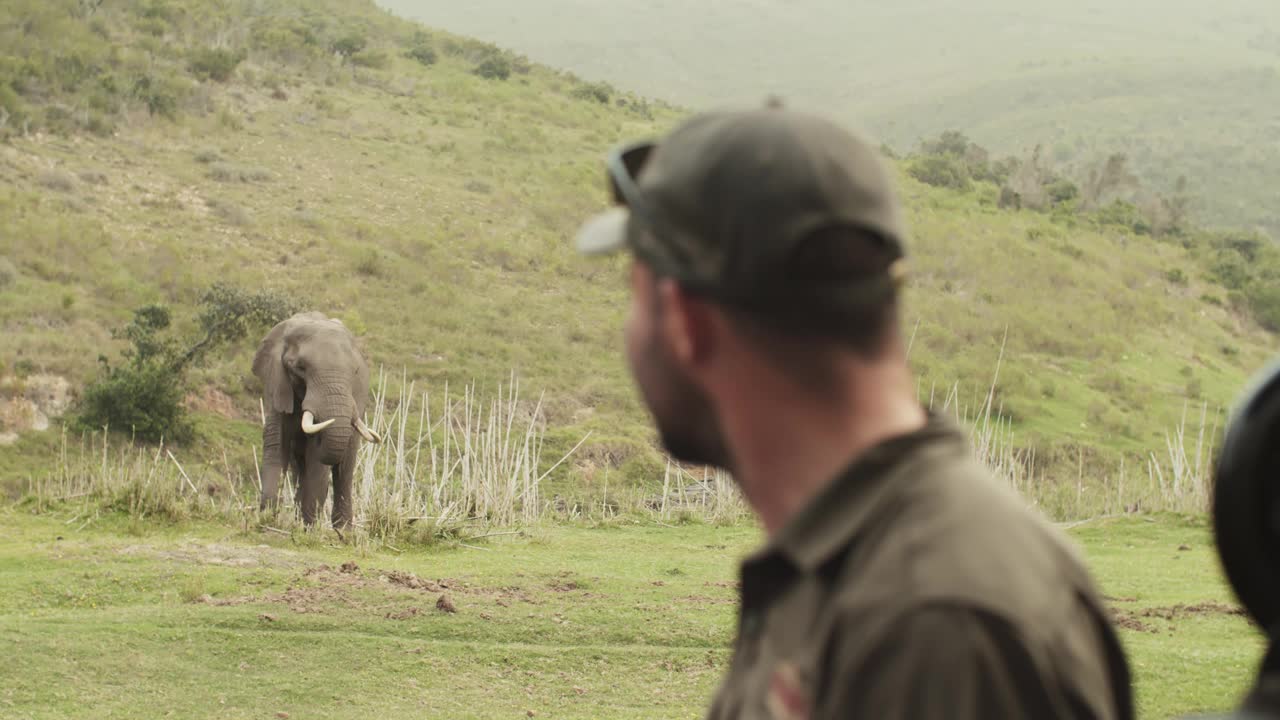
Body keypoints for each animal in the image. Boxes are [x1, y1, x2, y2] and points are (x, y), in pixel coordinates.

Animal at [252, 310, 381, 527]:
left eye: (354, 371)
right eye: (300, 367)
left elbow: (317, 460)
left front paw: (308, 528)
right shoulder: (277, 384)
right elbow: (276, 445)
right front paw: (266, 520)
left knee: (344, 469)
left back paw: (342, 531)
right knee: (300, 467)